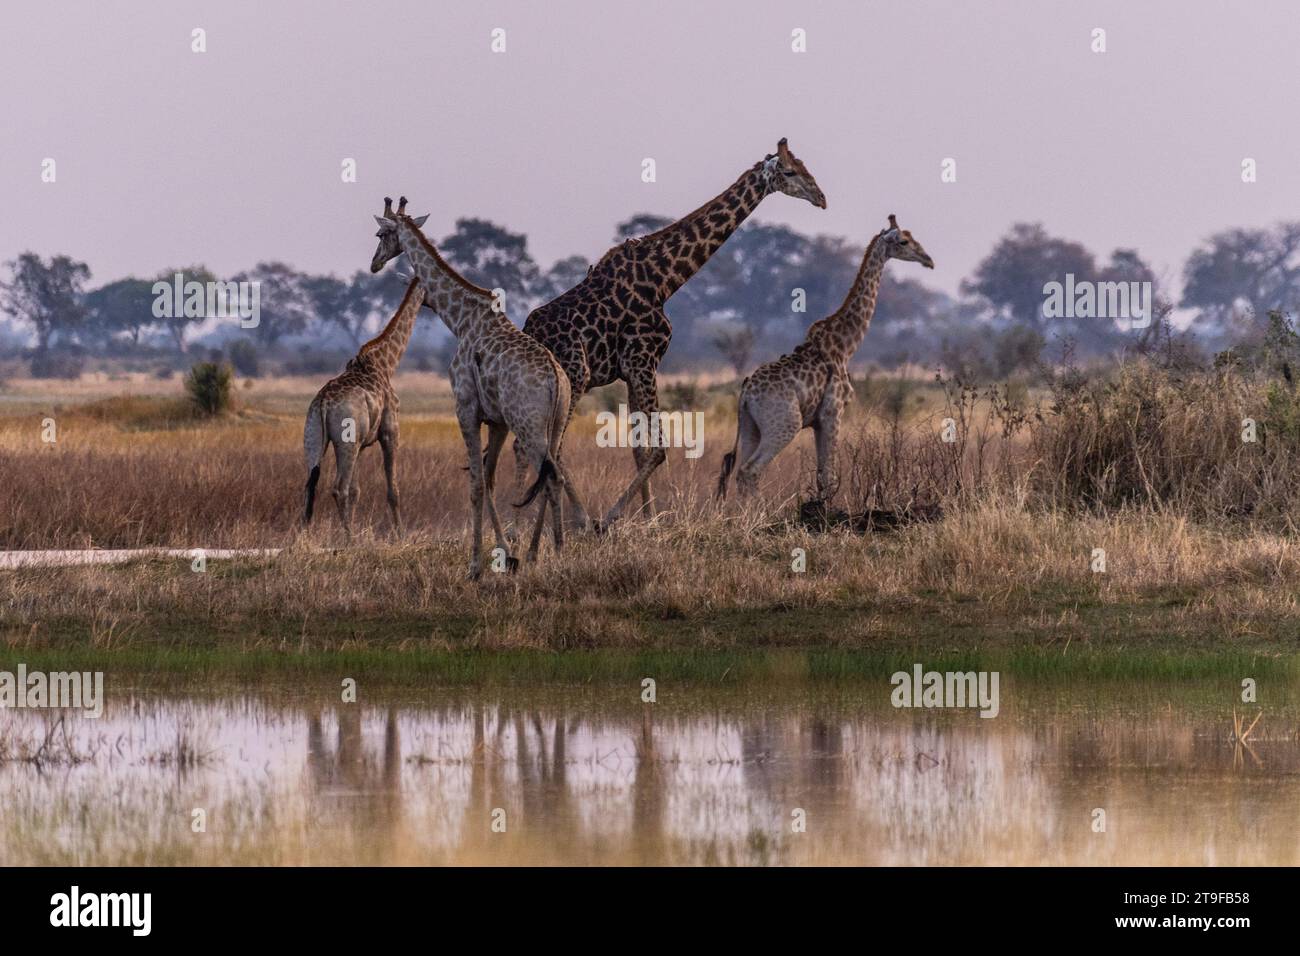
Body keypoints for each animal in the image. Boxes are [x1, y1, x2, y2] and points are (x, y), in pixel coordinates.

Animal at [302, 275, 423, 538]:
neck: (386, 364)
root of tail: (323, 403)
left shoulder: (361, 443)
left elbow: (356, 491)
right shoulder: (390, 431)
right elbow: (393, 490)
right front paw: (400, 535)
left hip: (315, 437)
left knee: (310, 485)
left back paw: (303, 535)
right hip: (345, 442)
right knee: (338, 488)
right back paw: (349, 539)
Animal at [369, 197, 587, 579]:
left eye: (381, 233)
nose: (374, 264)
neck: (460, 319)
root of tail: (555, 378)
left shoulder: (466, 408)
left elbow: (474, 484)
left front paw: (475, 566)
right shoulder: (497, 420)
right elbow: (488, 478)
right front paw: (506, 555)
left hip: (529, 425)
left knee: (549, 477)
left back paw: (552, 553)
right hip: (557, 423)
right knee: (554, 475)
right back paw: (543, 552)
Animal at [518, 138, 827, 529]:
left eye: (804, 166)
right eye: (789, 171)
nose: (821, 197)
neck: (665, 279)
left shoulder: (633, 370)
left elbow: (640, 449)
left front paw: (647, 520)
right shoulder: (643, 361)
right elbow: (658, 450)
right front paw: (612, 519)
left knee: (530, 448)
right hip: (575, 377)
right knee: (551, 450)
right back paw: (578, 520)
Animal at [716, 214, 935, 501]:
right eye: (904, 241)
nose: (928, 260)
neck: (846, 346)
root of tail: (745, 394)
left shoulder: (818, 422)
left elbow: (822, 477)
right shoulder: (833, 412)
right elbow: (829, 478)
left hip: (750, 426)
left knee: (741, 470)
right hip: (784, 424)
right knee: (750, 471)